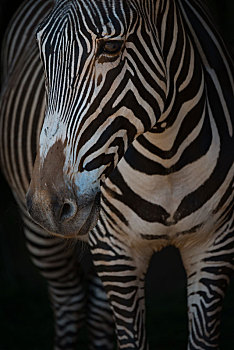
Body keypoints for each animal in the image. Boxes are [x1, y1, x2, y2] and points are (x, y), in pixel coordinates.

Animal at [21, 0, 233, 348]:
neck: (165, 156)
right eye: (41, 51)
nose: (44, 206)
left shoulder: (215, 243)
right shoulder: (114, 249)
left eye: (111, 47)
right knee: (68, 299)